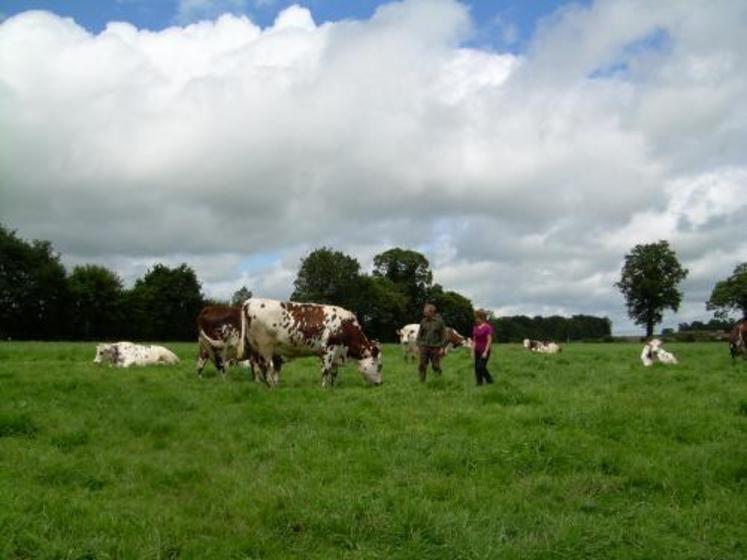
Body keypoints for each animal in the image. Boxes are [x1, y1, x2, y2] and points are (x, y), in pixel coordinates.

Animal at [243, 298, 382, 390]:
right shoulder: (329, 349)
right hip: (264, 347)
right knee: (264, 366)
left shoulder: (335, 352)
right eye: (380, 366)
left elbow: (334, 372)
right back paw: (270, 386)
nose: (381, 383)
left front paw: (333, 386)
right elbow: (326, 370)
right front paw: (324, 388)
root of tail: (250, 302)